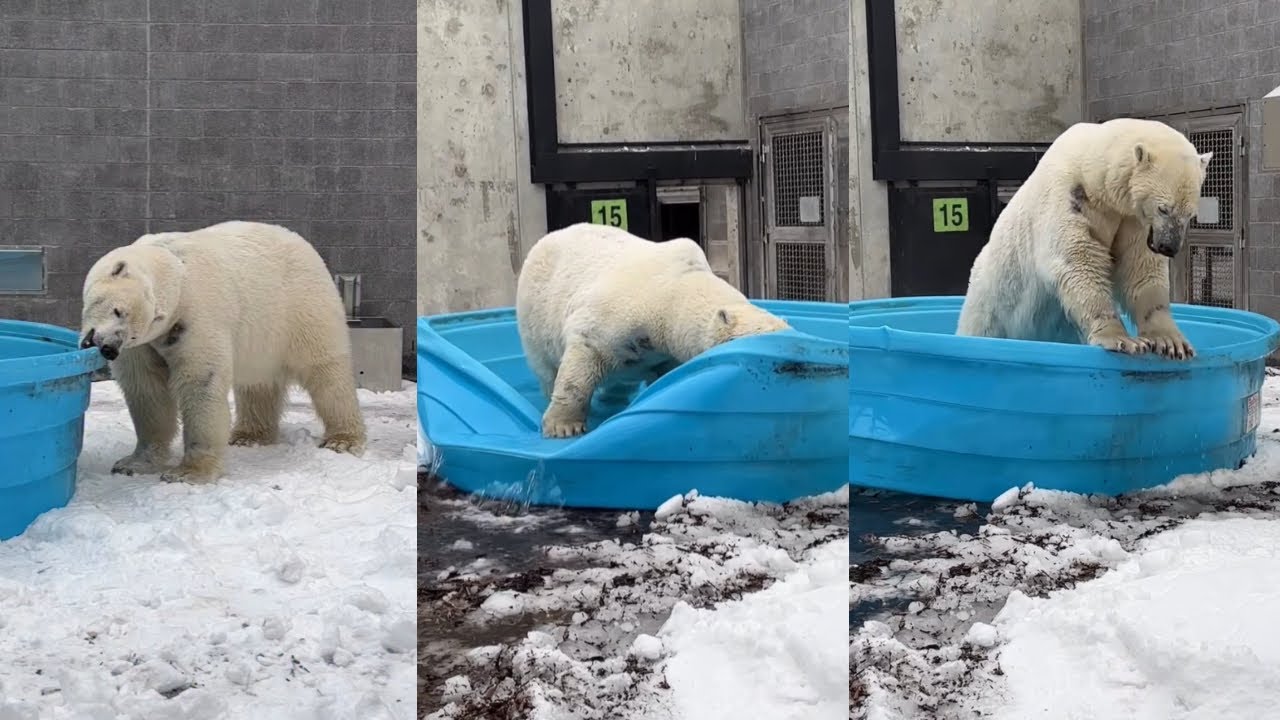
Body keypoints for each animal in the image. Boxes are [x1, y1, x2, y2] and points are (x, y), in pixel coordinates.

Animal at [79, 221, 368, 483]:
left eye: (122, 315)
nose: (109, 348)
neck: (175, 268)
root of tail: (305, 245)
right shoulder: (145, 346)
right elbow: (147, 390)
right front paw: (132, 464)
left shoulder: (195, 319)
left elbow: (200, 382)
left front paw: (188, 473)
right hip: (263, 335)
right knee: (258, 384)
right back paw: (248, 436)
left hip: (302, 308)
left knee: (325, 372)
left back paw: (342, 440)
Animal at [515, 222, 791, 439]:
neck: (672, 291)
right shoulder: (612, 314)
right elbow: (583, 356)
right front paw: (563, 426)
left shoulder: (664, 352)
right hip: (534, 313)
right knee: (545, 367)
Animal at [956, 117, 1212, 359]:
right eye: (1163, 209)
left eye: (1191, 214)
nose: (1168, 247)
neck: (1094, 174)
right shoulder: (1072, 197)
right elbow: (1078, 259)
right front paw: (1121, 339)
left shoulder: (1133, 220)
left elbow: (1138, 267)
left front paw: (1169, 341)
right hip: (990, 301)